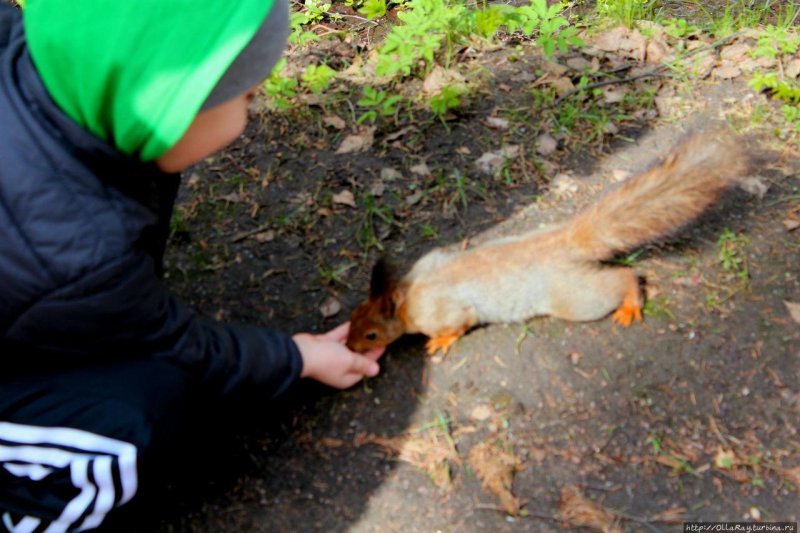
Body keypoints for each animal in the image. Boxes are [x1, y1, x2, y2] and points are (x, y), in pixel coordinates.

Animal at [344, 129, 752, 356]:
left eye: (371, 333)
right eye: (353, 317)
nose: (349, 347)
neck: (406, 295)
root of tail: (565, 241)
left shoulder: (443, 311)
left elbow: (459, 324)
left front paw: (441, 343)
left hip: (575, 297)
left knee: (621, 278)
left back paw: (629, 303)